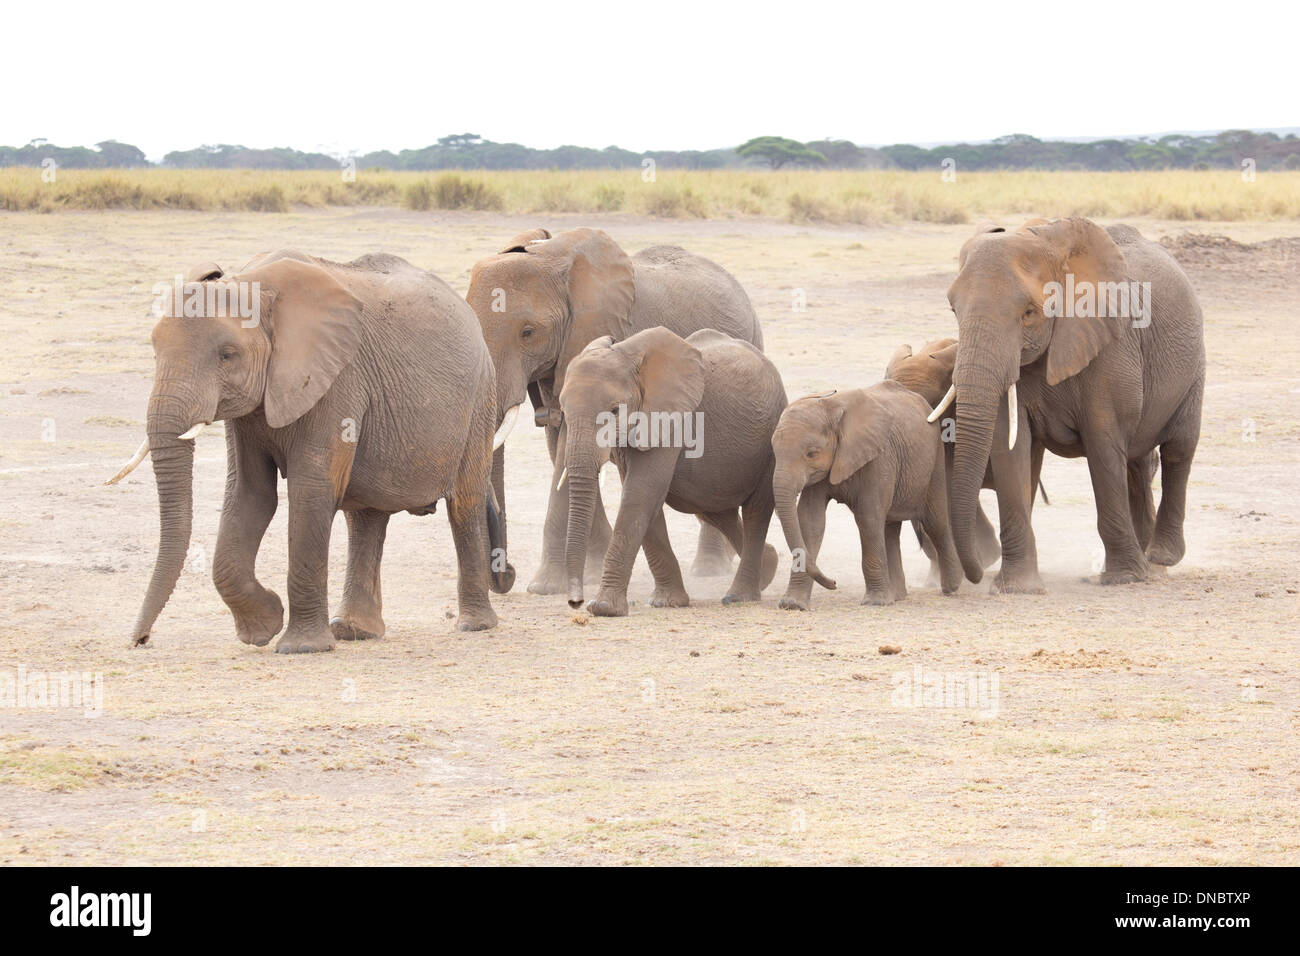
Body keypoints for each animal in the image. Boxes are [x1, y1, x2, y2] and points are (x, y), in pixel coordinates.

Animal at [106, 251, 504, 655]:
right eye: (154, 350)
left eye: (227, 355)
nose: (140, 640)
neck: (253, 285)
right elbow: (250, 494)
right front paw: (263, 627)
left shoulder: (337, 381)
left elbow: (310, 490)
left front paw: (300, 647)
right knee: (366, 516)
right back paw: (354, 631)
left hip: (481, 398)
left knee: (464, 502)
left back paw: (474, 625)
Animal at [465, 227, 759, 595]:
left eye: (528, 333)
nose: (508, 574)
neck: (551, 256)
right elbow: (562, 443)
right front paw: (588, 573)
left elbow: (566, 447)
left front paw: (545, 587)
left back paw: (709, 569)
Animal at [556, 325, 780, 616]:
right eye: (562, 410)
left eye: (615, 410)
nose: (575, 602)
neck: (628, 356)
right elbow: (644, 497)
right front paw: (667, 602)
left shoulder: (670, 418)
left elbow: (641, 493)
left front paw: (603, 608)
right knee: (716, 513)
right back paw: (769, 566)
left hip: (771, 440)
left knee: (756, 512)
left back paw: (739, 596)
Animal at [769, 379, 967, 608]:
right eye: (774, 451)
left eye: (811, 453)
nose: (834, 583)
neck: (831, 407)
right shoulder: (819, 473)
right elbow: (810, 520)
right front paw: (793, 605)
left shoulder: (878, 457)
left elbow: (868, 517)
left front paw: (875, 602)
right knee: (890, 528)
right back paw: (896, 595)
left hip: (935, 458)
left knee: (936, 522)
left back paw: (951, 588)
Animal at [941, 218, 1201, 590]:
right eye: (953, 309)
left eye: (1028, 313)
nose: (974, 574)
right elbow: (1011, 448)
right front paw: (1017, 588)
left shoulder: (1111, 345)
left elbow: (1103, 444)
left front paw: (1122, 579)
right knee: (1137, 463)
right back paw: (1150, 566)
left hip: (1193, 368)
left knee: (1178, 450)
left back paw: (1159, 559)